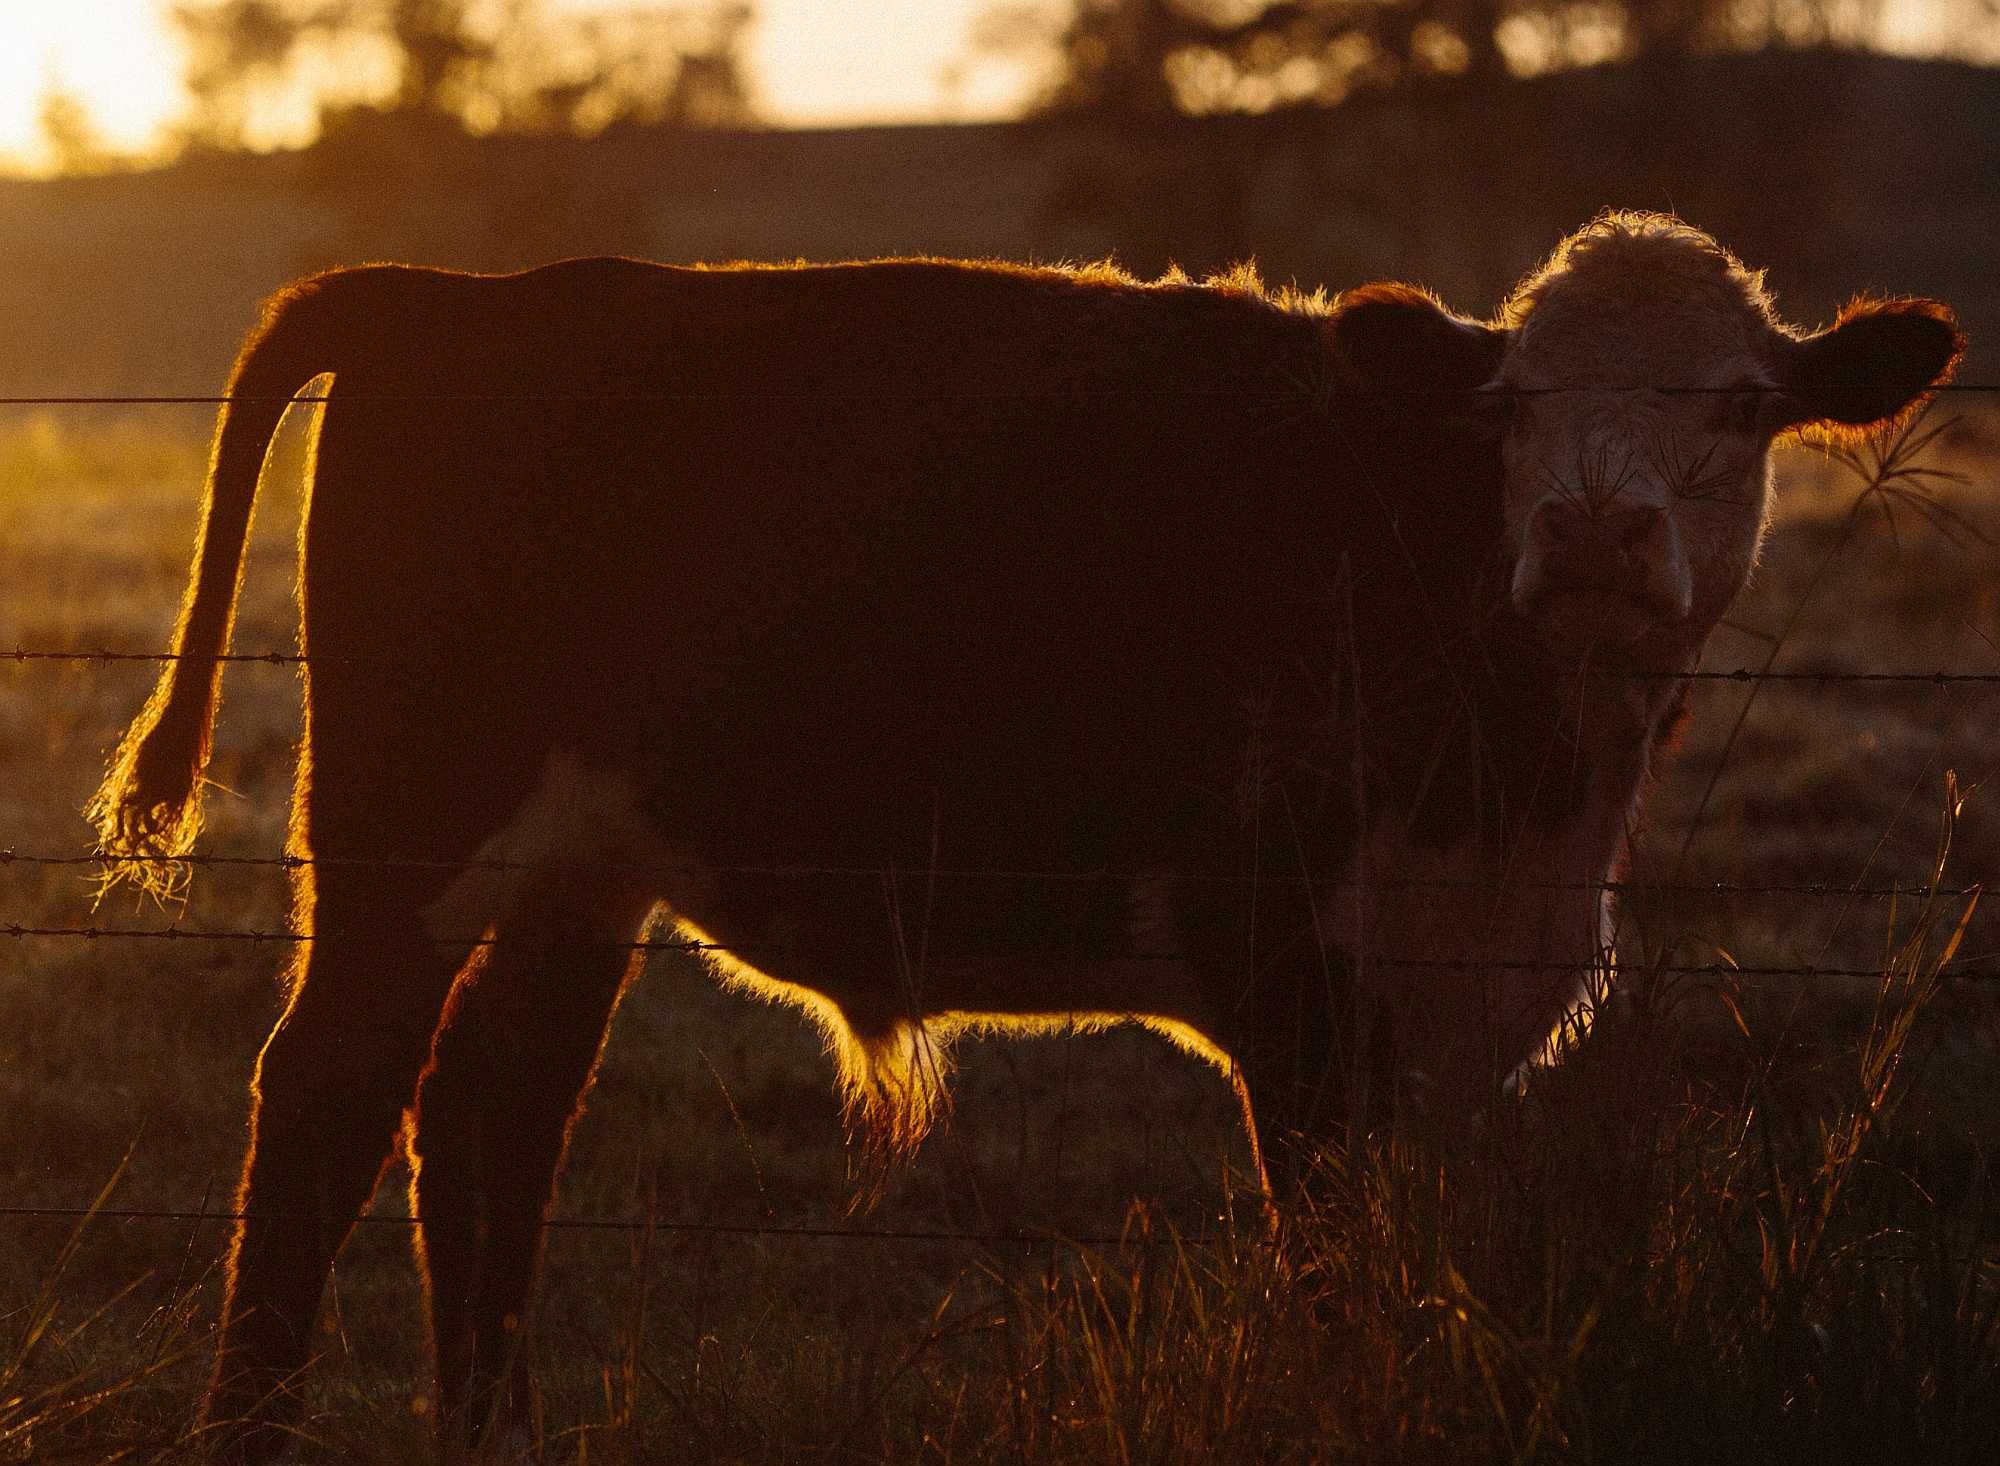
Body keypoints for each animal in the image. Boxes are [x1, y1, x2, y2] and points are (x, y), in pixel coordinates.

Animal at [90, 212, 1952, 1456]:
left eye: (1741, 405)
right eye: (1509, 406)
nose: (1589, 527)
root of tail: (455, 298)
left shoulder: (1449, 1000)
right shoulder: (1289, 977)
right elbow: (1337, 1266)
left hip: (581, 863)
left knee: (493, 1105)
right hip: (403, 829)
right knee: (327, 1095)